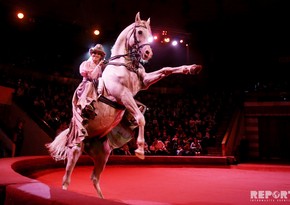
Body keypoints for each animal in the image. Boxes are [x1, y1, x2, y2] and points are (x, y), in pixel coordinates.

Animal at [47, 11, 202, 199]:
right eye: (140, 32)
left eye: (150, 33)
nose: (148, 53)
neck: (124, 65)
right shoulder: (123, 95)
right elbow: (140, 118)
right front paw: (140, 150)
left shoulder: (144, 82)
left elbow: (166, 70)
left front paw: (192, 68)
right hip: (76, 148)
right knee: (67, 177)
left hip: (103, 154)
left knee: (94, 178)